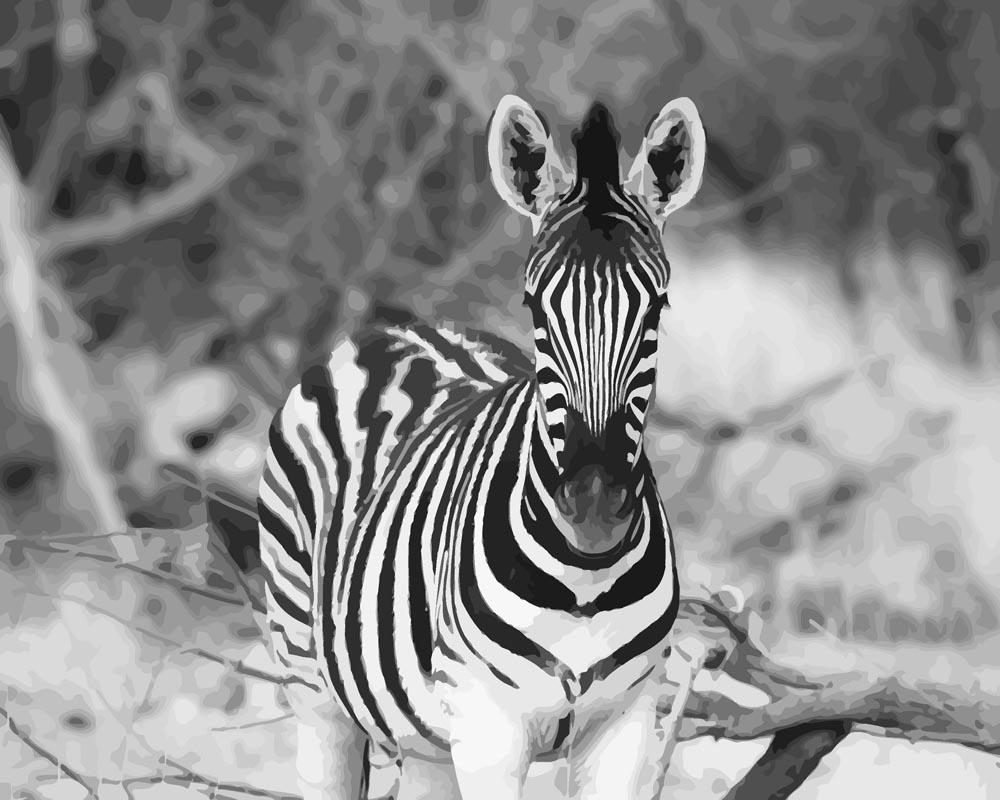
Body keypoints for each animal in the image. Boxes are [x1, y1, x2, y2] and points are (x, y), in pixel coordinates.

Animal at [256, 93, 706, 799]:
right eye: (535, 305)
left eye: (657, 307)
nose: (594, 500)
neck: (585, 577)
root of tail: (406, 327)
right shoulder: (487, 722)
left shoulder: (627, 717)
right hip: (312, 682)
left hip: (426, 738)